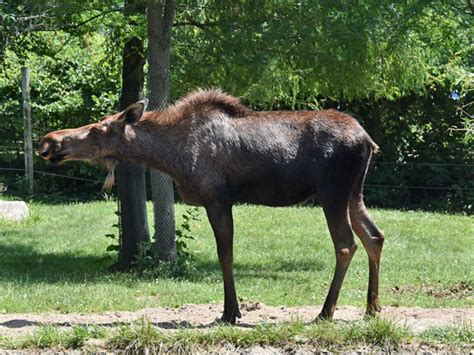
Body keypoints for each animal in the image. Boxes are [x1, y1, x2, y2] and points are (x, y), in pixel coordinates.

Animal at [39, 89, 384, 326]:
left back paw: (326, 312)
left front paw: (230, 312)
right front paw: (234, 309)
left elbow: (225, 254)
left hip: (332, 192)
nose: (48, 141)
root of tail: (369, 141)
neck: (171, 157)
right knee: (374, 236)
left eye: (98, 129)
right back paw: (372, 308)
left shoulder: (217, 198)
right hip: (354, 193)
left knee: (346, 243)